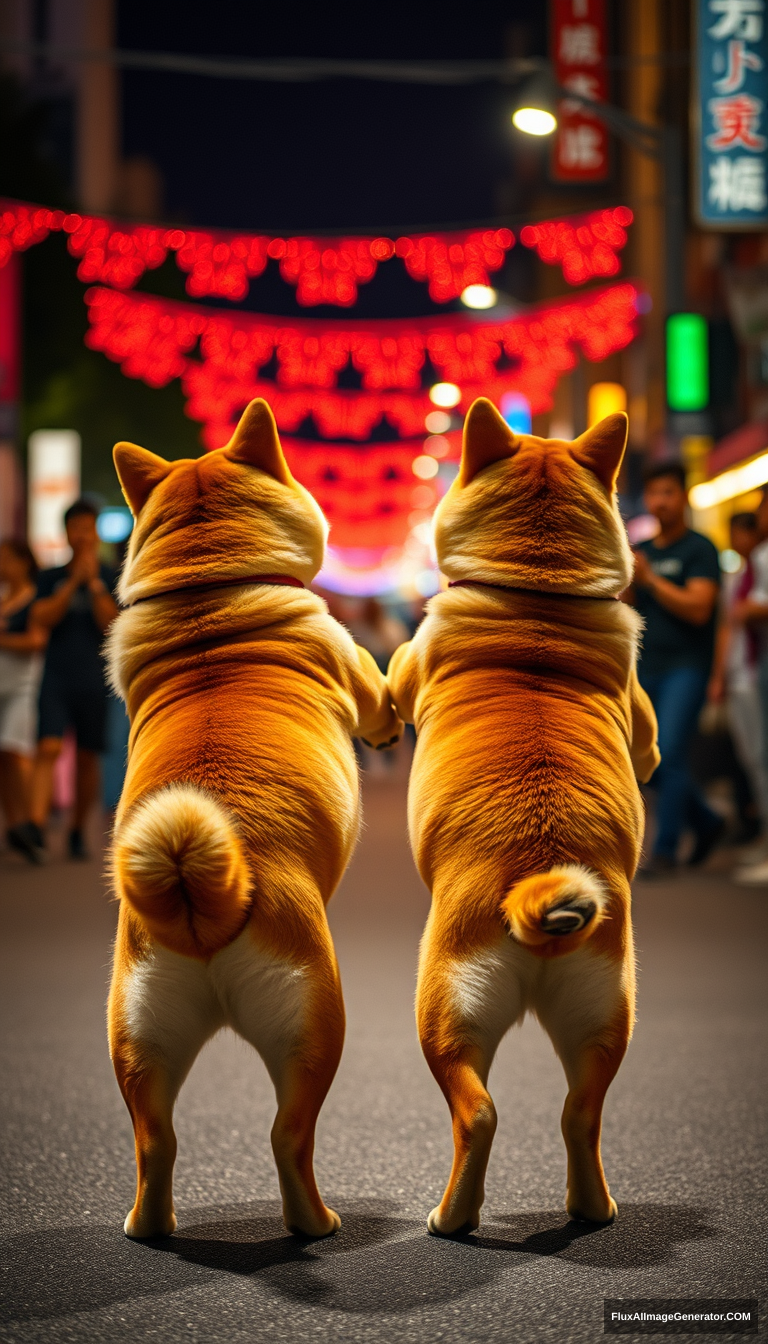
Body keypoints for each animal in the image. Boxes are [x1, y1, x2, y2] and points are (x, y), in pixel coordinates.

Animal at [107, 395, 403, 1236]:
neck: (208, 593)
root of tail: (198, 900)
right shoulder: (354, 666)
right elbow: (378, 698)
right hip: (313, 1019)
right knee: (287, 1135)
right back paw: (316, 1222)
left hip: (138, 1036)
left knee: (155, 1142)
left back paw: (149, 1227)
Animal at [390, 397, 661, 1236]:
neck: (540, 595)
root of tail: (537, 879)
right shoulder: (636, 698)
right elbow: (650, 732)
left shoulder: (411, 663)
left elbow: (393, 678)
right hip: (606, 1015)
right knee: (582, 1114)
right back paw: (592, 1207)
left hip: (444, 1010)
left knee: (475, 1113)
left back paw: (452, 1216)